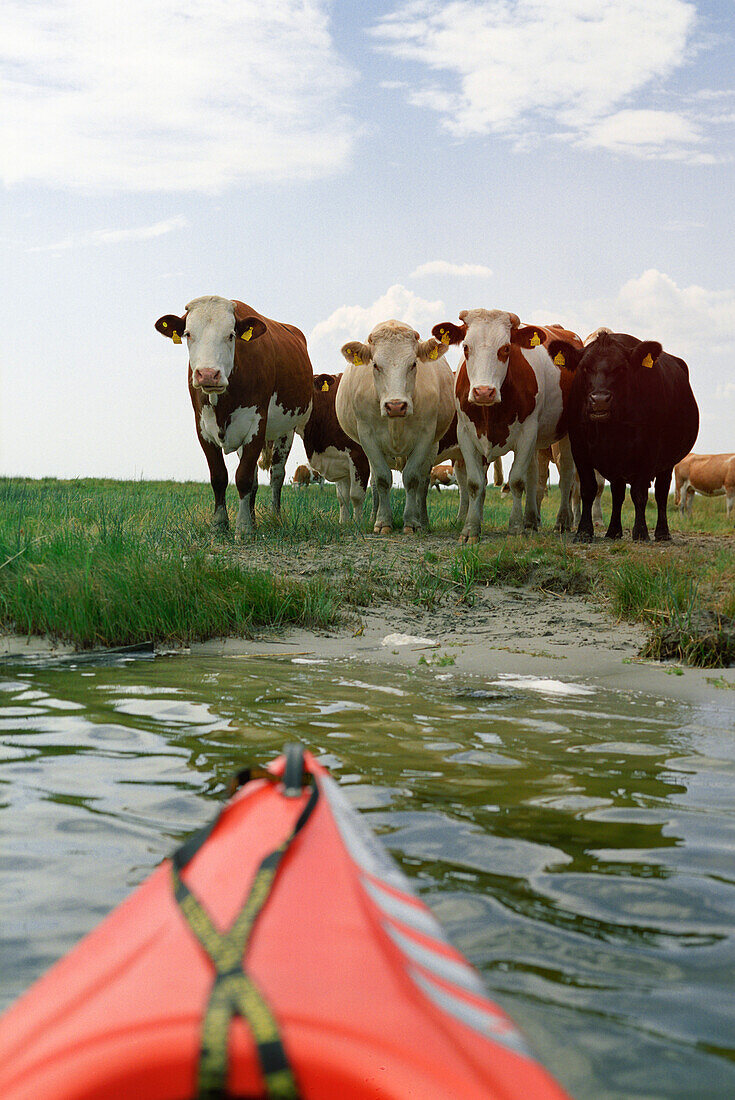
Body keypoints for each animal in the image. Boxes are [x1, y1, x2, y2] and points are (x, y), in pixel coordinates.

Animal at [156, 294, 312, 534]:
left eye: (231, 335)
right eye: (188, 334)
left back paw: (275, 516)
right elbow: (220, 477)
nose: (208, 374)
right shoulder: (203, 429)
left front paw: (244, 527)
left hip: (286, 430)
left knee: (277, 475)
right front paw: (220, 524)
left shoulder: (257, 425)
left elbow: (244, 477)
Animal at [336, 321, 453, 534]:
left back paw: (423, 521)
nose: (396, 406)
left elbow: (413, 478)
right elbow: (382, 479)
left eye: (413, 364)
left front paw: (412, 522)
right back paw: (373, 516)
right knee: (375, 482)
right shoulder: (367, 436)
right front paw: (382, 522)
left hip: (433, 447)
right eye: (375, 365)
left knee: (423, 484)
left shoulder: (426, 436)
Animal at [431, 312, 580, 539]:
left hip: (564, 434)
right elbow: (474, 483)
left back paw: (562, 522)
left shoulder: (527, 432)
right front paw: (470, 528)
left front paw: (516, 528)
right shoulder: (465, 433)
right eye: (466, 347)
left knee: (565, 476)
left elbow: (517, 481)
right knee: (534, 476)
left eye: (506, 348)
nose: (483, 392)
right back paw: (531, 520)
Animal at [547, 332, 699, 543]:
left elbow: (639, 493)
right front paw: (584, 532)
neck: (611, 430)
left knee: (661, 493)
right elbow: (588, 490)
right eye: (585, 367)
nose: (599, 400)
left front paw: (641, 532)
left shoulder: (648, 452)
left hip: (668, 461)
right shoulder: (580, 449)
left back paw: (662, 532)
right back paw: (613, 531)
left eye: (620, 368)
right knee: (618, 493)